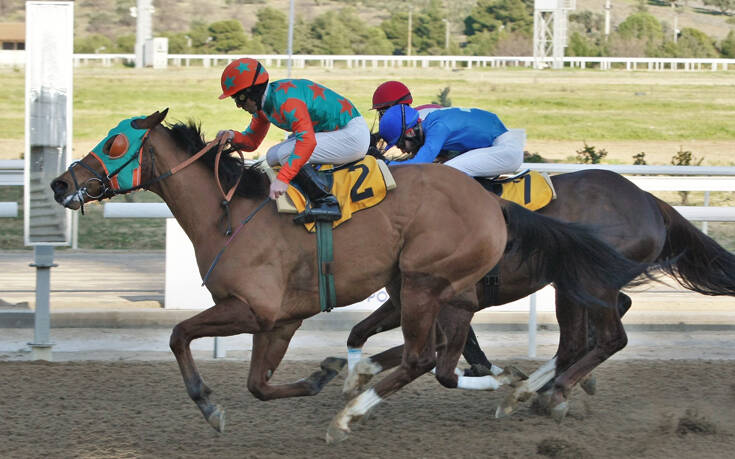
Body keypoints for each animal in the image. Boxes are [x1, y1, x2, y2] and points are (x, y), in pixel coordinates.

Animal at [50, 110, 648, 442]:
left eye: (116, 144)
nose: (60, 184)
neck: (230, 215)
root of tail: (491, 202)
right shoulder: (279, 321)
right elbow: (260, 384)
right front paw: (323, 374)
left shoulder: (252, 309)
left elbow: (178, 334)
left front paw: (209, 405)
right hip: (444, 291)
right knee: (447, 358)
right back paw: (515, 384)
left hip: (426, 283)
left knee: (426, 358)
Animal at [344, 169, 735, 420]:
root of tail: (650, 201)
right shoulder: (410, 296)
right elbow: (363, 332)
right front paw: (355, 374)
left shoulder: (438, 296)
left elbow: (437, 348)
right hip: (578, 286)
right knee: (590, 332)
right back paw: (544, 389)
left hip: (587, 281)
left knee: (606, 338)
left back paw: (546, 392)